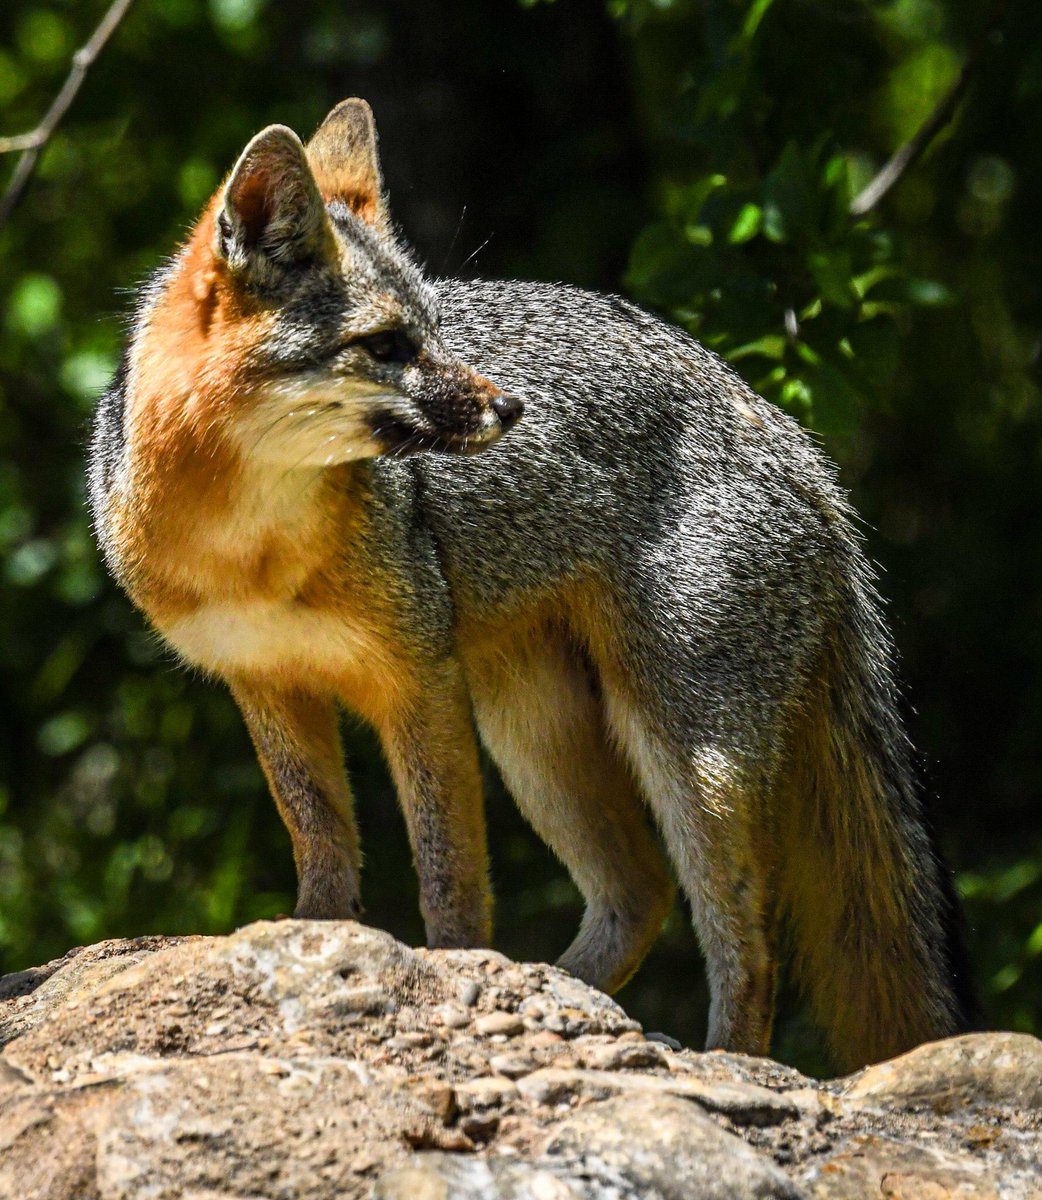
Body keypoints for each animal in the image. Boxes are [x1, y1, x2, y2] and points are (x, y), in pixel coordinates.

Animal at [88, 98, 973, 1070]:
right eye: (385, 346)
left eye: (438, 331)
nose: (510, 408)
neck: (249, 553)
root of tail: (791, 440)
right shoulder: (266, 685)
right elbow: (320, 838)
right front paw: (310, 943)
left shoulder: (419, 682)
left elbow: (449, 874)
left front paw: (443, 971)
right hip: (534, 736)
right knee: (638, 892)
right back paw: (566, 998)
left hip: (686, 755)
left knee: (743, 943)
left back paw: (715, 1053)